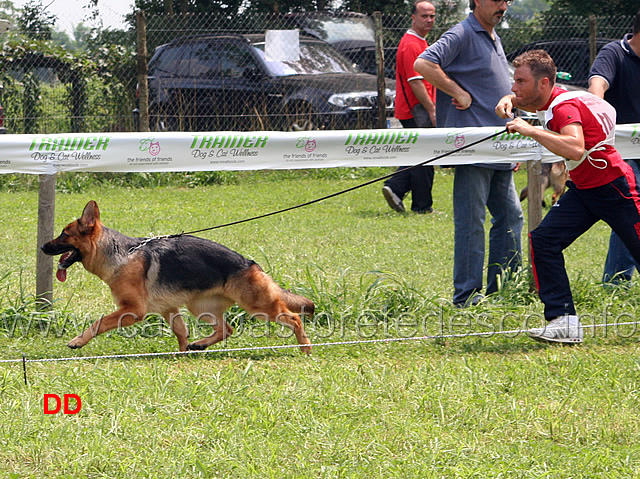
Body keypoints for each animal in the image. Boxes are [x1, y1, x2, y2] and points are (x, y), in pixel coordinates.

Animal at [40, 201, 312, 354]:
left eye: (64, 234)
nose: (42, 247)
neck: (121, 254)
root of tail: (250, 263)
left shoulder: (132, 311)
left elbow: (99, 323)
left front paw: (78, 341)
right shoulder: (169, 309)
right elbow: (181, 333)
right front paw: (180, 356)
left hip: (258, 307)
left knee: (295, 318)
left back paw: (305, 348)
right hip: (200, 307)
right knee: (227, 329)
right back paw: (200, 345)